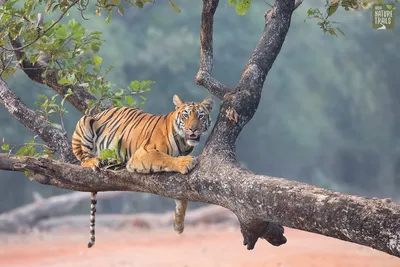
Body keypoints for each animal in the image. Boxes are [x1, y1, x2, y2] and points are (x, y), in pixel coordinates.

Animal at [73, 94, 214, 249]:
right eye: (186, 115)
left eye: (201, 116)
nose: (193, 129)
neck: (184, 144)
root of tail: (99, 113)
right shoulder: (143, 153)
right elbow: (166, 158)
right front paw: (186, 162)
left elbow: (182, 197)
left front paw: (178, 224)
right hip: (85, 122)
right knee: (82, 158)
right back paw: (94, 161)